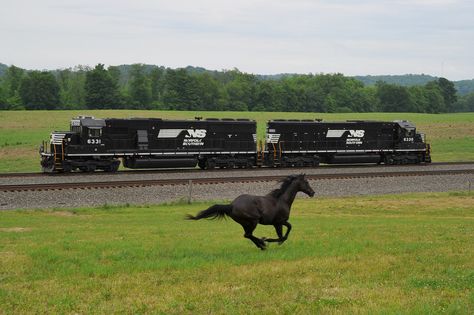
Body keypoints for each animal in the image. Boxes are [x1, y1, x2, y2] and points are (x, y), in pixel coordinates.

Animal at [186, 174, 314, 251]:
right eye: (307, 182)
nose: (313, 193)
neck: (281, 200)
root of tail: (232, 205)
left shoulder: (278, 223)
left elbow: (284, 233)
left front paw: (269, 241)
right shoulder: (279, 222)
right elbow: (284, 234)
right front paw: (267, 240)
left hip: (245, 223)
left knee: (247, 235)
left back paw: (261, 245)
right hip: (253, 221)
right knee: (248, 235)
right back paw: (262, 243)